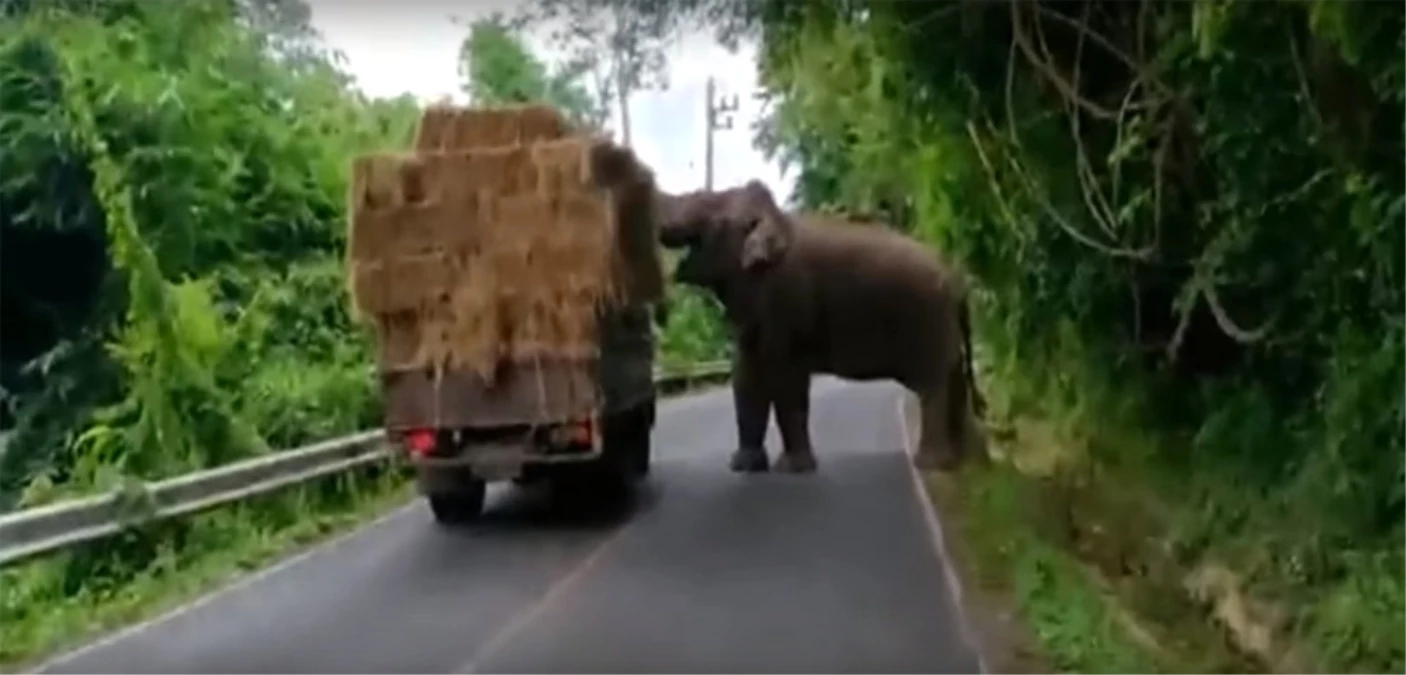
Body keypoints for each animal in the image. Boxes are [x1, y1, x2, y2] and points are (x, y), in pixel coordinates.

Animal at [652, 180, 984, 475]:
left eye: (708, 208)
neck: (777, 220)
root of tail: (957, 280)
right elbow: (745, 375)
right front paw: (744, 467)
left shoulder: (787, 298)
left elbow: (787, 378)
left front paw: (793, 468)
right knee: (954, 381)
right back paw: (962, 463)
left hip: (927, 321)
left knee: (933, 387)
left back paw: (931, 464)